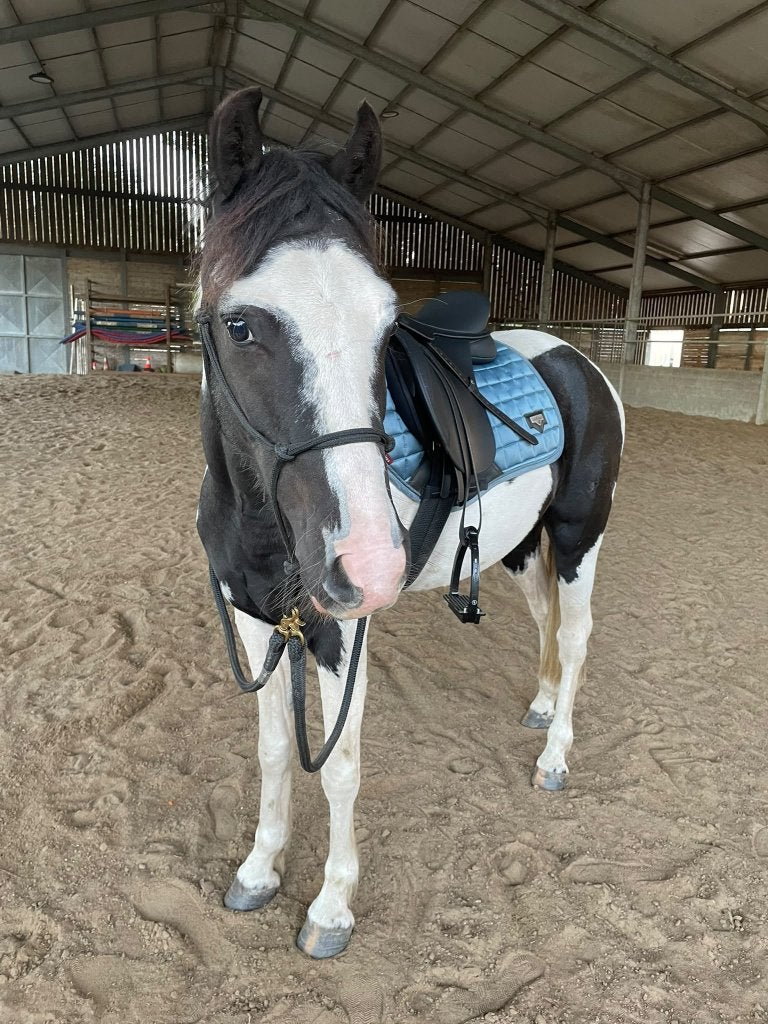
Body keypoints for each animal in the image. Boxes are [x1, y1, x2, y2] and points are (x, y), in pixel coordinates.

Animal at [196, 87, 624, 958]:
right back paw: (538, 709)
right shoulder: (258, 622)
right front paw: (258, 871)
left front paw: (331, 908)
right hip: (519, 551)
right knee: (543, 623)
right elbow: (271, 752)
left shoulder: (339, 633)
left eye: (387, 324)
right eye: (240, 324)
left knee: (574, 635)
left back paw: (555, 757)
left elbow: (341, 764)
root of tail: (578, 363)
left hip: (577, 537)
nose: (370, 565)